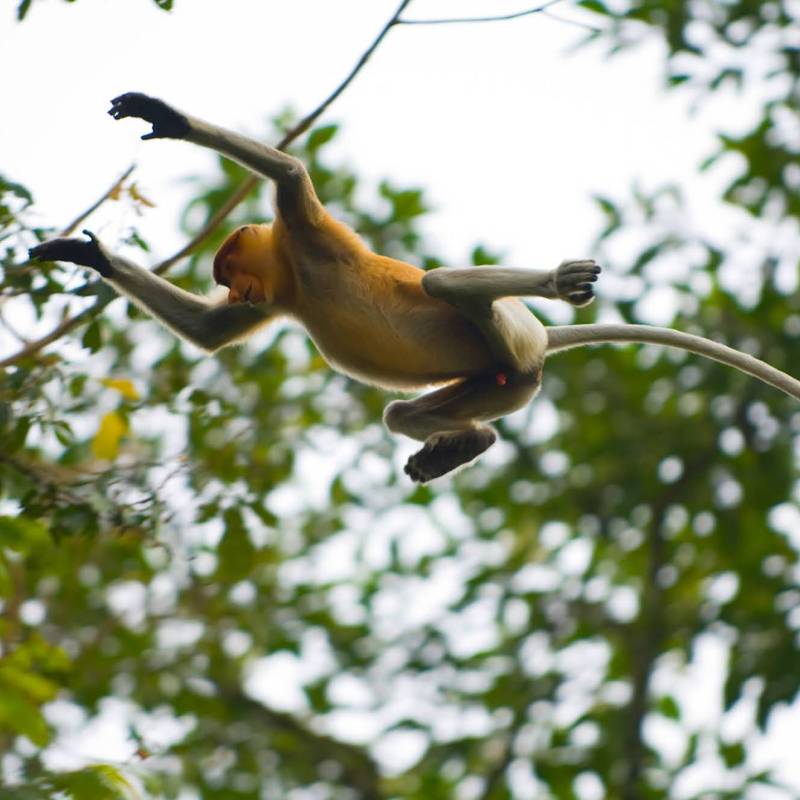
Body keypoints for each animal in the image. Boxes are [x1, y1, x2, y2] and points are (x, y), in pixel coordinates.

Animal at [29, 93, 800, 483]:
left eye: (229, 271)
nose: (241, 292)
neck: (296, 275)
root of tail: (540, 342)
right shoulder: (283, 294)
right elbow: (212, 335)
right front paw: (81, 254)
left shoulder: (307, 233)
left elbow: (287, 174)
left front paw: (163, 116)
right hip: (503, 383)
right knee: (411, 411)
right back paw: (466, 444)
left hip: (511, 345)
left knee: (444, 282)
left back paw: (557, 282)